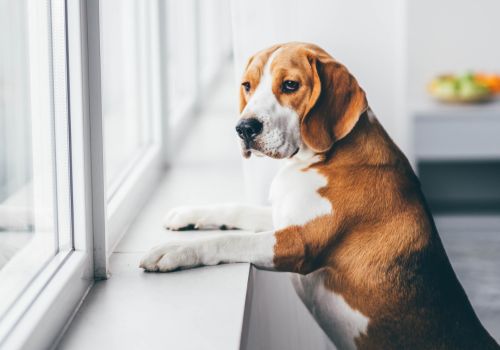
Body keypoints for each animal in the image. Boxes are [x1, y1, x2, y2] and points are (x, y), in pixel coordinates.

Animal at [139, 42, 498, 348]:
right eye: (247, 85)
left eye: (290, 85)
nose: (244, 128)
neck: (317, 159)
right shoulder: (282, 217)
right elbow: (236, 209)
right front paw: (187, 214)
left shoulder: (299, 243)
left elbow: (230, 242)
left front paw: (172, 251)